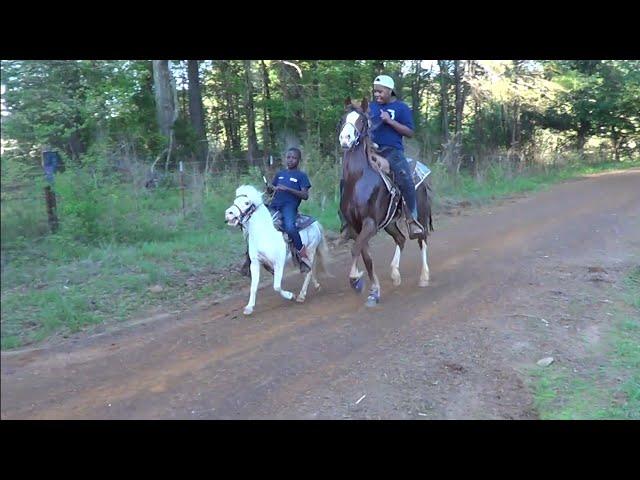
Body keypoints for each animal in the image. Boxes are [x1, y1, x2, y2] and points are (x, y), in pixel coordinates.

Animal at [225, 184, 330, 316]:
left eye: (246, 202)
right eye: (235, 201)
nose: (228, 213)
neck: (264, 234)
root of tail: (315, 223)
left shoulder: (278, 263)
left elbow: (276, 286)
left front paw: (290, 295)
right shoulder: (255, 263)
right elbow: (253, 286)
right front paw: (249, 307)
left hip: (310, 250)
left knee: (309, 271)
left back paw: (301, 295)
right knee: (308, 270)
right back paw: (316, 286)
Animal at [338, 97, 432, 308]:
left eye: (361, 121)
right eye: (343, 119)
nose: (345, 139)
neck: (358, 179)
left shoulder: (370, 223)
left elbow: (356, 250)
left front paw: (356, 280)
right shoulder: (356, 227)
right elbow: (365, 256)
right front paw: (373, 291)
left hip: (420, 215)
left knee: (422, 239)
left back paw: (424, 277)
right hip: (389, 223)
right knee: (401, 239)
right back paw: (395, 273)